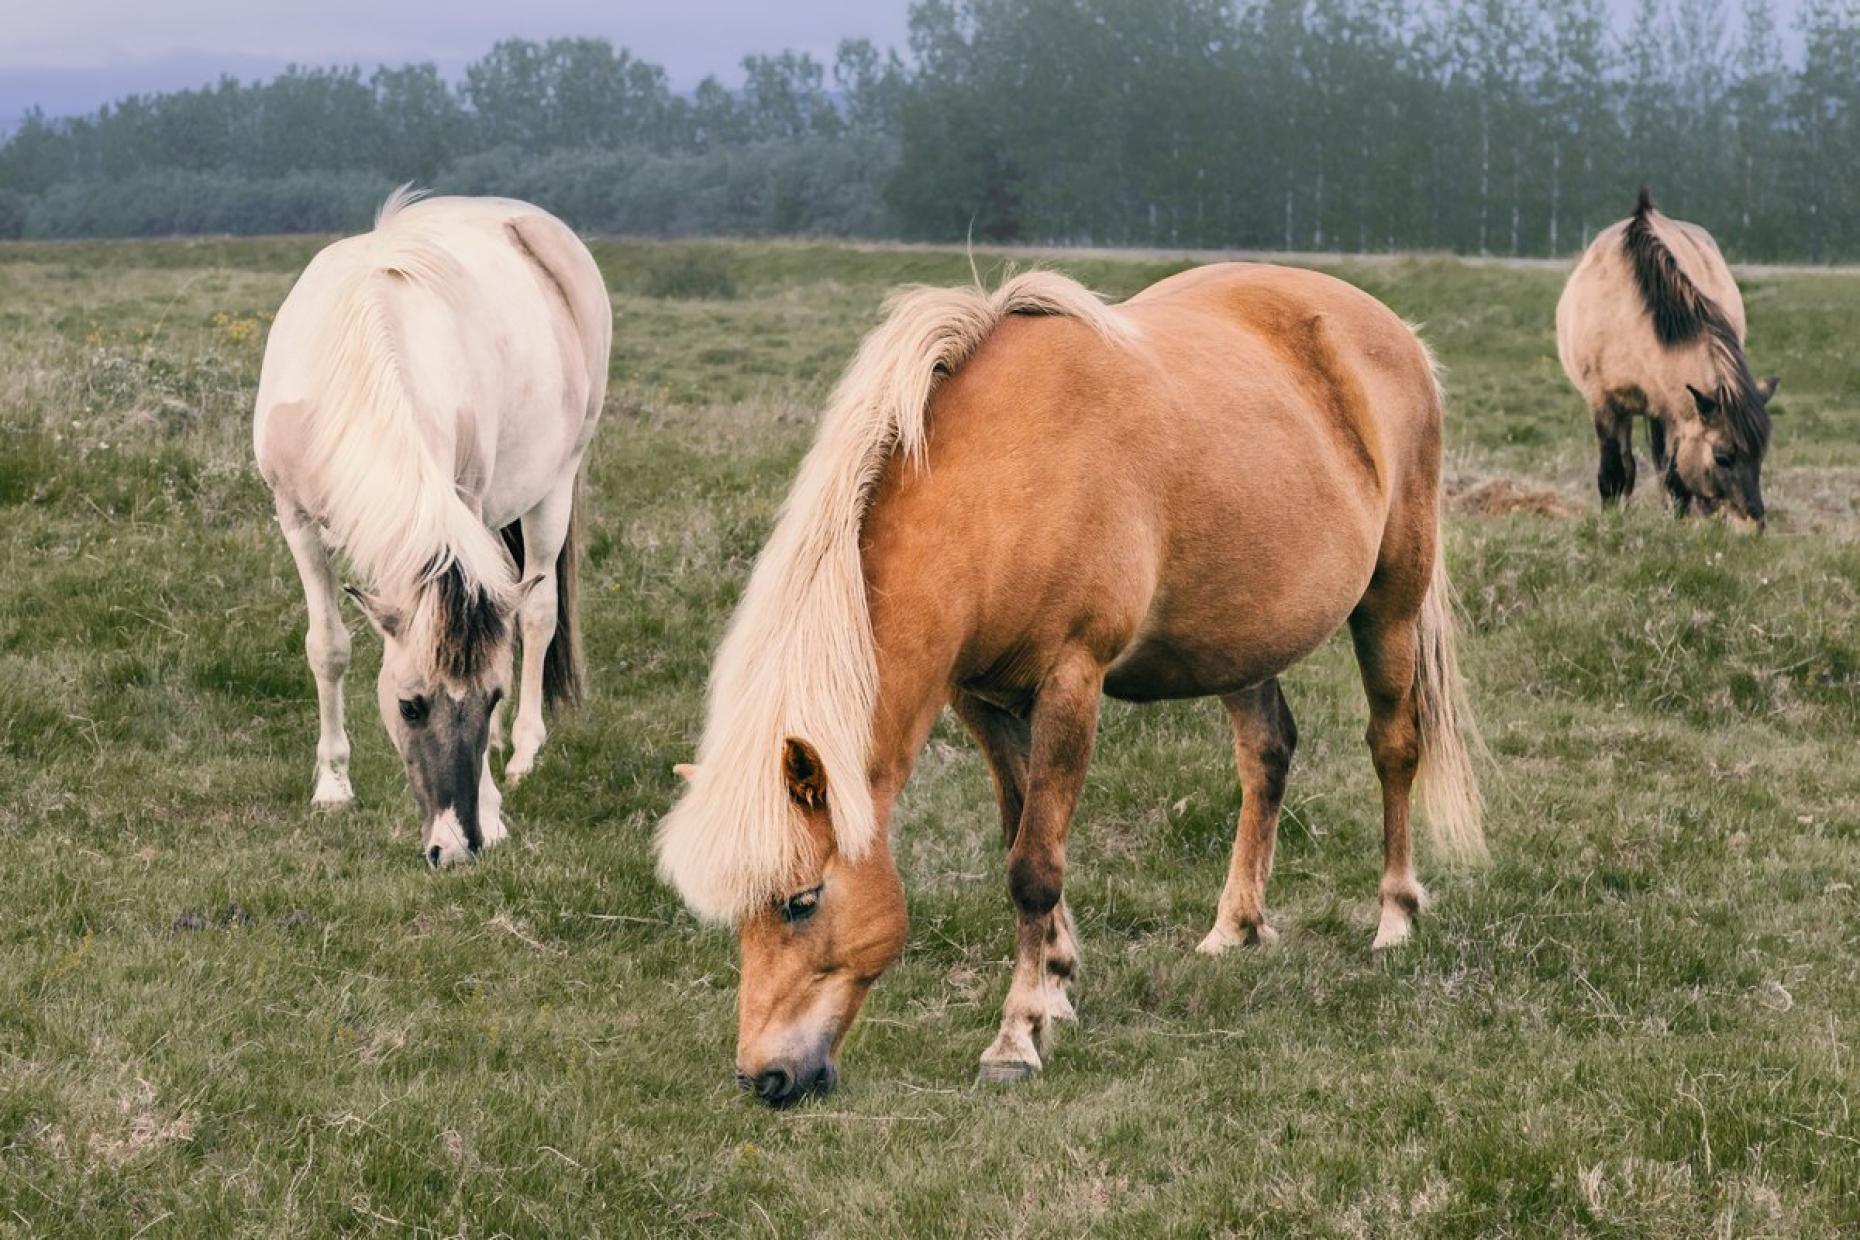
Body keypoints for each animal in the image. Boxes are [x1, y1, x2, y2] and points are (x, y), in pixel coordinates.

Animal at [254, 190, 610, 865]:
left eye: (489, 698)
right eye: (409, 707)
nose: (456, 845)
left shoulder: (463, 506)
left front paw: (493, 807)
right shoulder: (296, 520)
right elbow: (327, 647)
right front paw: (333, 784)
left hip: (555, 483)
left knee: (537, 613)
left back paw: (523, 751)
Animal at [656, 263, 1485, 1106]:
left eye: (800, 901)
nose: (766, 1077)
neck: (997, 483)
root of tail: (1390, 330)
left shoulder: (1070, 682)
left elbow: (1033, 867)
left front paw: (1016, 1037)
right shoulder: (982, 699)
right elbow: (1022, 829)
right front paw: (1055, 984)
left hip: (1391, 602)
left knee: (1394, 746)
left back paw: (1395, 917)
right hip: (1241, 637)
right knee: (1266, 753)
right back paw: (1236, 927)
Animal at [1556, 189, 1778, 524]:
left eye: (1760, 455)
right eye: (1722, 457)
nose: (1754, 521)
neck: (1628, 316)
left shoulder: (1673, 411)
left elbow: (1674, 479)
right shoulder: (1603, 403)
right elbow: (1613, 474)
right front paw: (1611, 520)